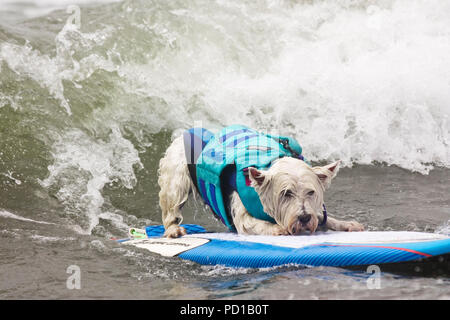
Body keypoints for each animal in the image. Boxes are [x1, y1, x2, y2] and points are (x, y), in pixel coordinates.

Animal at [156, 125, 364, 238]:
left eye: (311, 192)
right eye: (286, 193)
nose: (304, 218)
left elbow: (324, 217)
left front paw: (346, 224)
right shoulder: (242, 217)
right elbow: (253, 223)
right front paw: (277, 228)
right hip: (176, 180)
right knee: (171, 207)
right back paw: (174, 229)